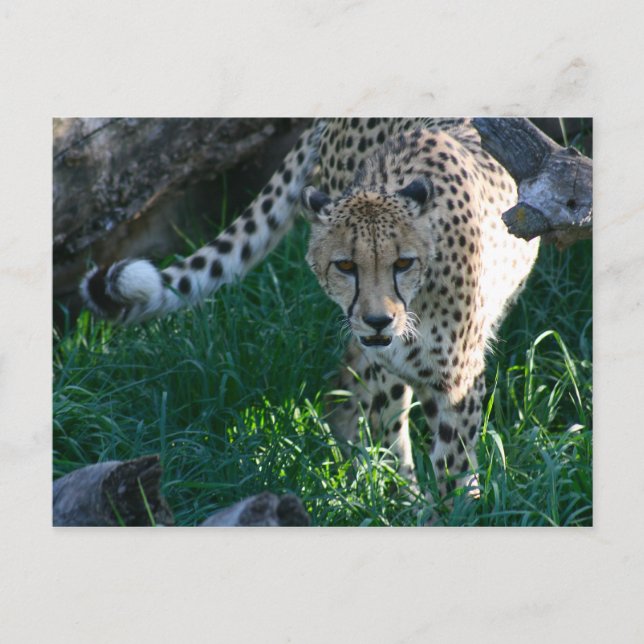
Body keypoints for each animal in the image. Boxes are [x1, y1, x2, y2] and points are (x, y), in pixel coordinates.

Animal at [81, 118, 539, 508]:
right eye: (346, 265)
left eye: (403, 263)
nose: (378, 320)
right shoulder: (390, 368)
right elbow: (395, 438)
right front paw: (407, 504)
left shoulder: (458, 378)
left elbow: (453, 462)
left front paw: (457, 511)